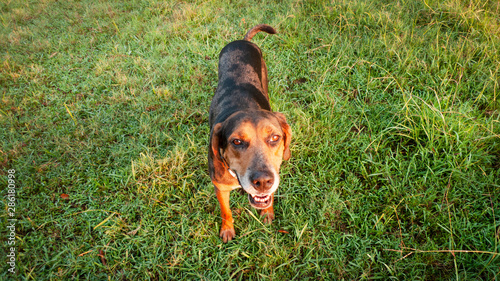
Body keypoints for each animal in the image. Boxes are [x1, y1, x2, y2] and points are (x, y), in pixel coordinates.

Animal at [208, 25, 292, 242]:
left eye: (274, 138)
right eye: (236, 141)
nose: (263, 182)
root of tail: (242, 40)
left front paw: (268, 213)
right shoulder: (220, 187)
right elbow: (225, 211)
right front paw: (227, 229)